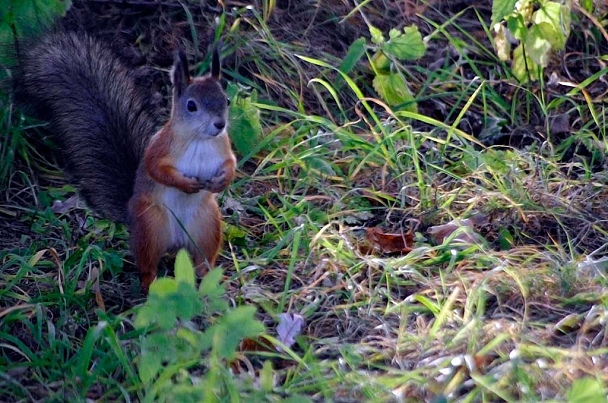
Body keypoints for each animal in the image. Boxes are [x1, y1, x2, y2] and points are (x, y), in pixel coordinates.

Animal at [14, 31, 235, 290]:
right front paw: (185, 184)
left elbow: (231, 164)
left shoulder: (224, 148)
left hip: (206, 225)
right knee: (147, 264)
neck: (200, 139)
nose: (219, 124)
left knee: (203, 256)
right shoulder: (159, 149)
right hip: (151, 227)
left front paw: (222, 181)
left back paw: (210, 275)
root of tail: (177, 242)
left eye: (226, 100)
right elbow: (156, 169)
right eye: (191, 106)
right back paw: (152, 284)